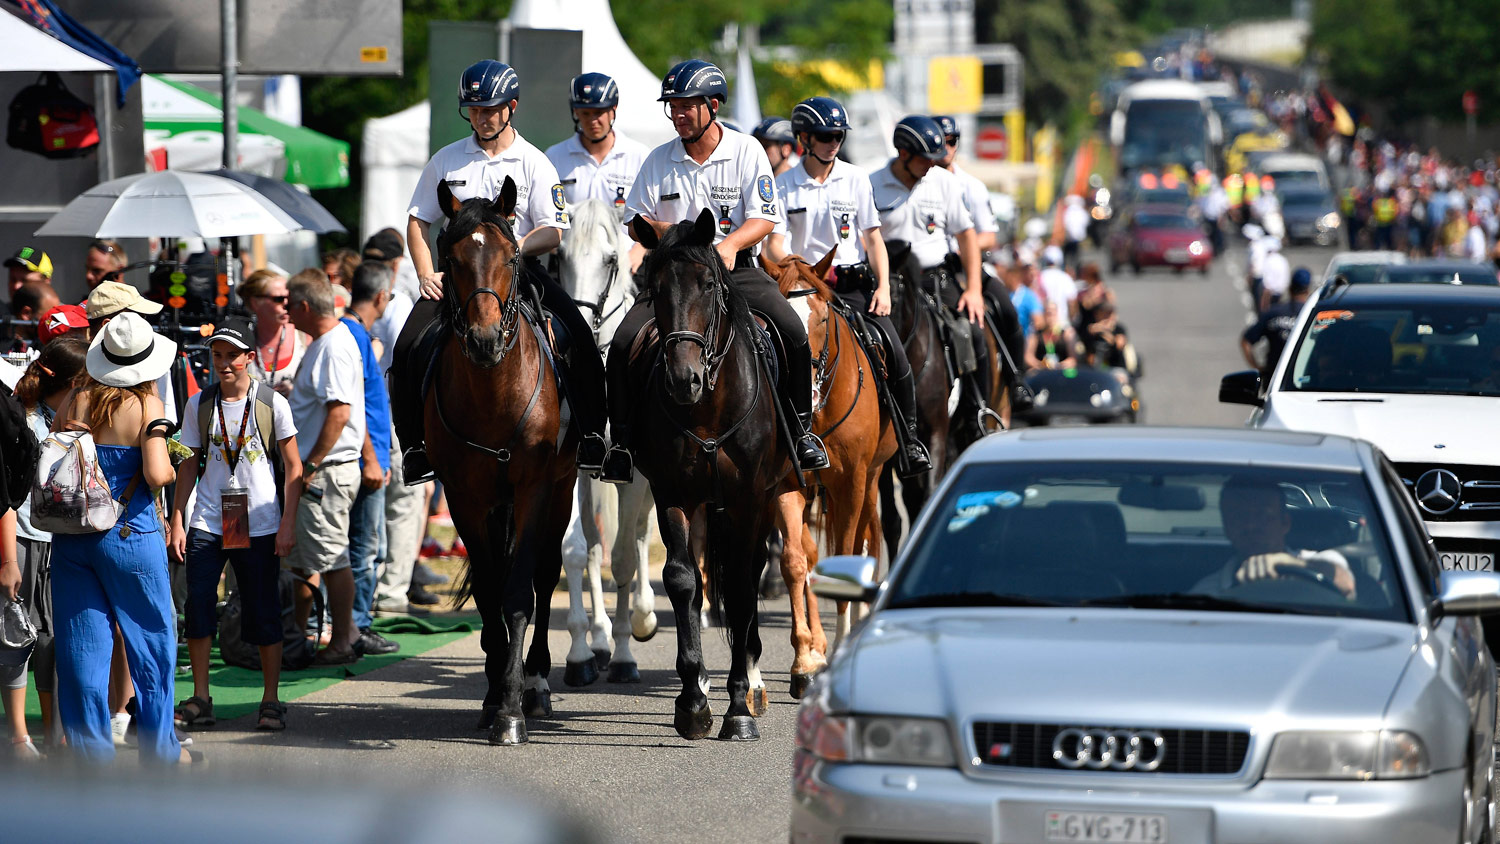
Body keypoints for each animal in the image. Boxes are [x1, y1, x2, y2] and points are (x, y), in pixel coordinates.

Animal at [429, 179, 585, 746]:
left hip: (561, 489)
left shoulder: (535, 487)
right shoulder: (464, 497)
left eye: (511, 255)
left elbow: (519, 592)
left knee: (545, 573)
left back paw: (536, 682)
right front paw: (495, 695)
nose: (483, 339)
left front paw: (513, 709)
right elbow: (489, 592)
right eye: (450, 258)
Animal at [621, 211, 792, 740]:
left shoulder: (750, 498)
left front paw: (738, 708)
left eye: (709, 284)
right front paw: (692, 703)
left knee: (749, 574)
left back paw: (753, 682)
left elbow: (738, 584)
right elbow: (682, 581)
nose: (683, 379)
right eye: (654, 287)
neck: (708, 408)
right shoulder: (673, 493)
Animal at [762, 250, 888, 701]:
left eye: (820, 318)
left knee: (867, 538)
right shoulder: (789, 486)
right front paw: (804, 661)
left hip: (871, 479)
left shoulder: (851, 483)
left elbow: (847, 558)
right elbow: (796, 562)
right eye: (776, 321)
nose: (807, 387)